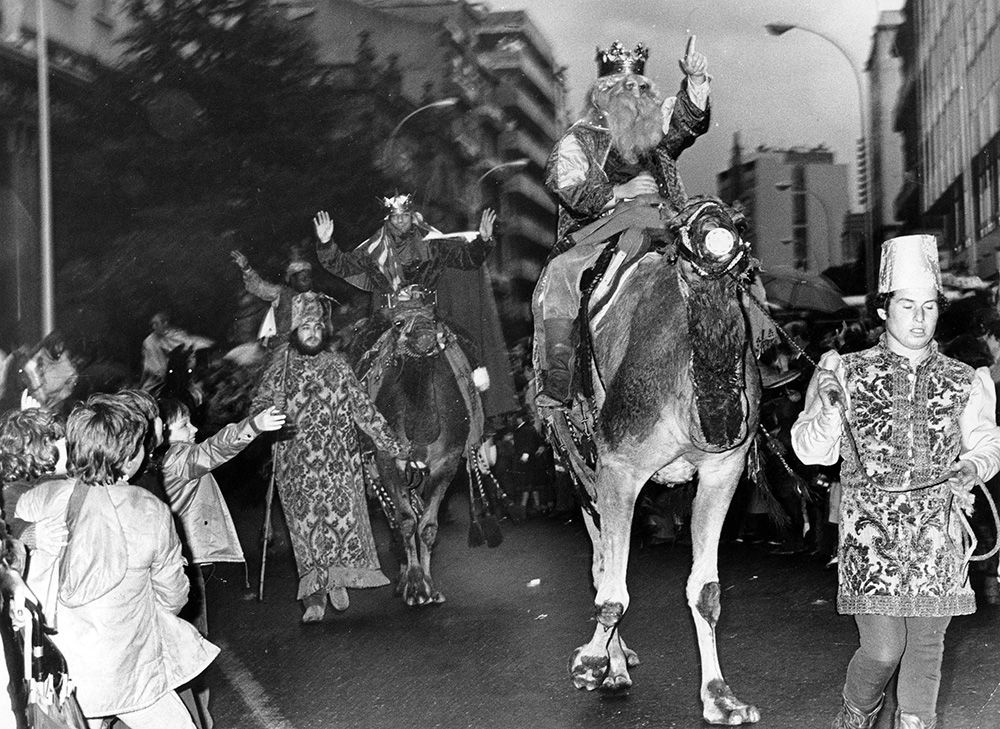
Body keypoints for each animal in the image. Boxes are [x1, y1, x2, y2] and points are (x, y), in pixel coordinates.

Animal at [358, 288, 482, 604]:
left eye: (434, 317)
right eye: (399, 323)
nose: (426, 336)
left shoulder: (448, 459)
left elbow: (427, 525)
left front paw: (429, 586)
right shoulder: (386, 459)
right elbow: (405, 520)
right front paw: (413, 585)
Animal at [540, 196, 764, 724]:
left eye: (739, 225)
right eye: (682, 233)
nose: (716, 238)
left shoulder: (724, 468)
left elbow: (706, 591)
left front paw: (721, 698)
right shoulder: (619, 466)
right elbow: (612, 592)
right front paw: (590, 665)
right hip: (579, 466)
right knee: (602, 567)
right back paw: (615, 670)